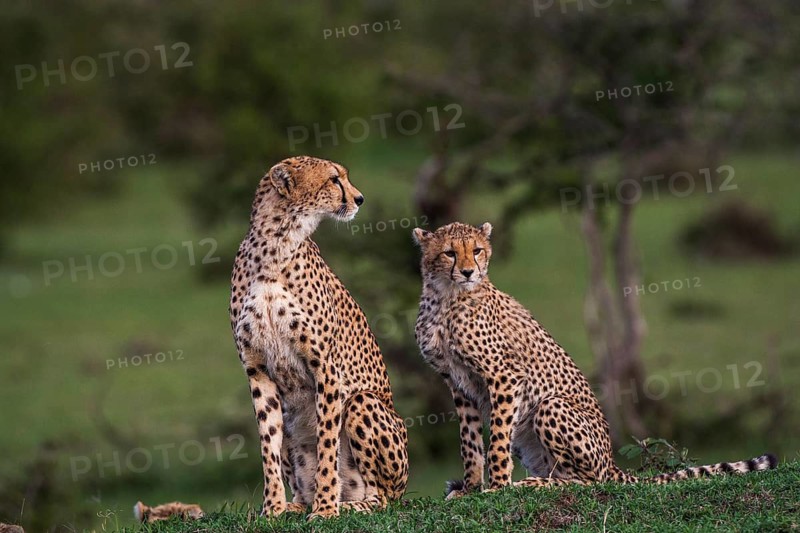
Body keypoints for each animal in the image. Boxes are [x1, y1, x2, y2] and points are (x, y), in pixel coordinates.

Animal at [230, 156, 408, 520]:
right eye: (333, 179)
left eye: (343, 177)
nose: (359, 199)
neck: (276, 245)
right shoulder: (257, 370)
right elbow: (268, 443)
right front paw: (272, 509)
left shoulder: (325, 366)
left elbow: (327, 441)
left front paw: (326, 509)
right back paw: (297, 505)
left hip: (364, 403)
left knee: (383, 497)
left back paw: (348, 504)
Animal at [412, 221, 776, 498]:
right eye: (449, 253)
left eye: (476, 250)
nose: (468, 272)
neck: (446, 297)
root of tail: (612, 462)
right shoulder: (458, 382)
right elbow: (469, 441)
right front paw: (470, 488)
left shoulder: (504, 376)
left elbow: (497, 439)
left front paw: (498, 487)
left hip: (550, 406)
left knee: (586, 482)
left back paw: (531, 485)